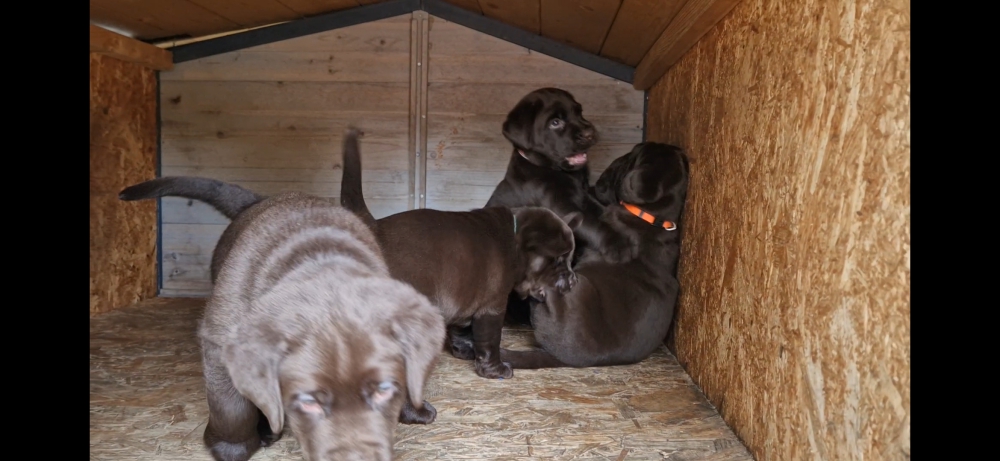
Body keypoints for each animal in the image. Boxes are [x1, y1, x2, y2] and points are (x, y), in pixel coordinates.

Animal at [119, 185, 444, 458]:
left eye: (383, 390)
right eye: (307, 401)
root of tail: (259, 200)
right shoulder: (221, 341)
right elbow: (231, 408)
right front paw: (231, 448)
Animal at [342, 128, 584, 378]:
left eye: (570, 259)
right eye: (557, 260)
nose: (573, 280)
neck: (515, 240)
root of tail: (373, 229)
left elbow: (461, 331)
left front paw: (465, 352)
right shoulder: (493, 306)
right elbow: (490, 341)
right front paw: (495, 370)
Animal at [486, 87, 640, 264]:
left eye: (580, 112)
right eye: (555, 122)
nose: (589, 133)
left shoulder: (584, 196)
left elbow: (602, 211)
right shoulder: (562, 207)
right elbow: (592, 223)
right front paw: (617, 243)